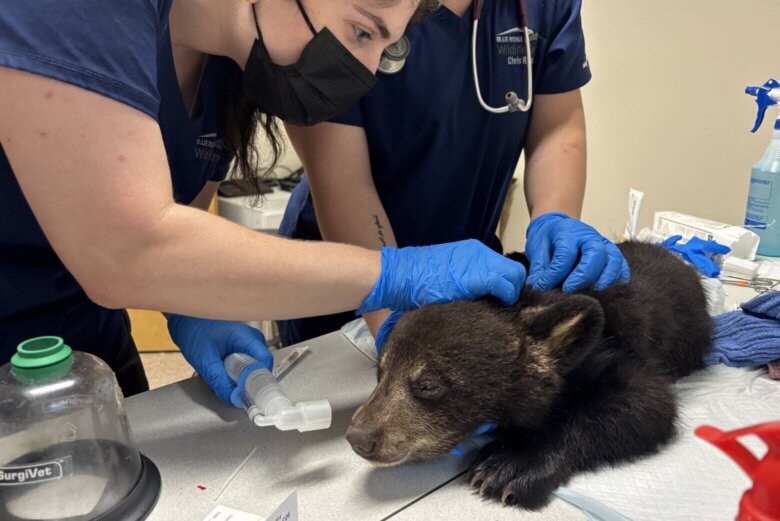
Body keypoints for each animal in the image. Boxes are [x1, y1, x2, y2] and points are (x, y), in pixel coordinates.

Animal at [346, 241, 713, 510]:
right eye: (381, 371)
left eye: (428, 385)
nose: (358, 437)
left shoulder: (614, 353)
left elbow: (646, 402)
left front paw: (511, 466)